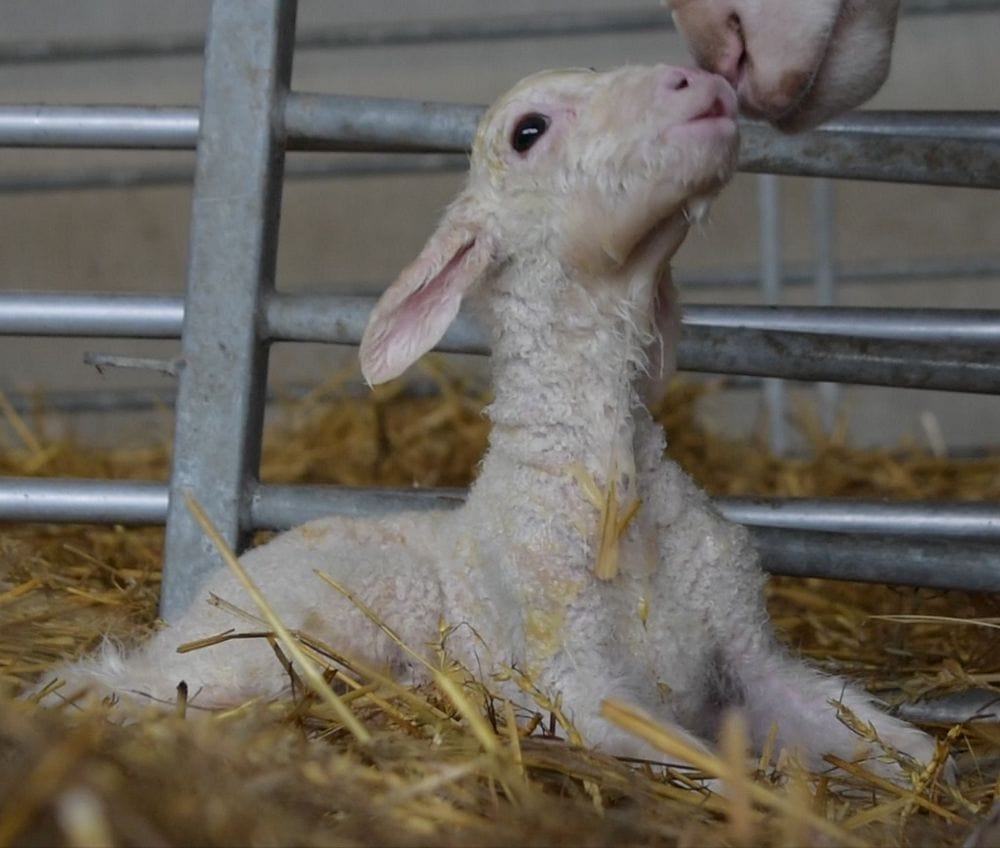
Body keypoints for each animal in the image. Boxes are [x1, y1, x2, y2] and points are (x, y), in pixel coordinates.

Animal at [49, 64, 939, 781]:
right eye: (528, 131)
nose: (703, 82)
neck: (615, 497)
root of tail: (205, 594)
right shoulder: (573, 678)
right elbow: (712, 774)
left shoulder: (751, 656)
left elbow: (916, 755)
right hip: (301, 630)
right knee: (135, 682)